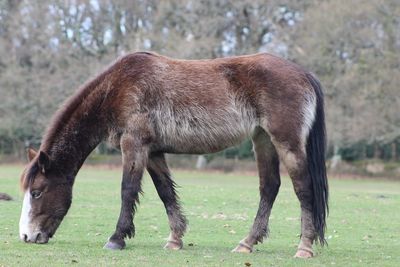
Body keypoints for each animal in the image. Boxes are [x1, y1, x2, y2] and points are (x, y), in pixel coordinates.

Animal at [18, 51, 328, 258]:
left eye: (36, 192)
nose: (26, 236)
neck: (116, 89)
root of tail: (304, 74)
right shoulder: (153, 151)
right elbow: (165, 192)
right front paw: (175, 239)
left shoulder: (134, 144)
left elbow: (128, 190)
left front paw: (117, 238)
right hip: (262, 139)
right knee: (269, 187)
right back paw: (246, 243)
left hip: (286, 142)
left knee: (303, 188)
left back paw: (304, 247)